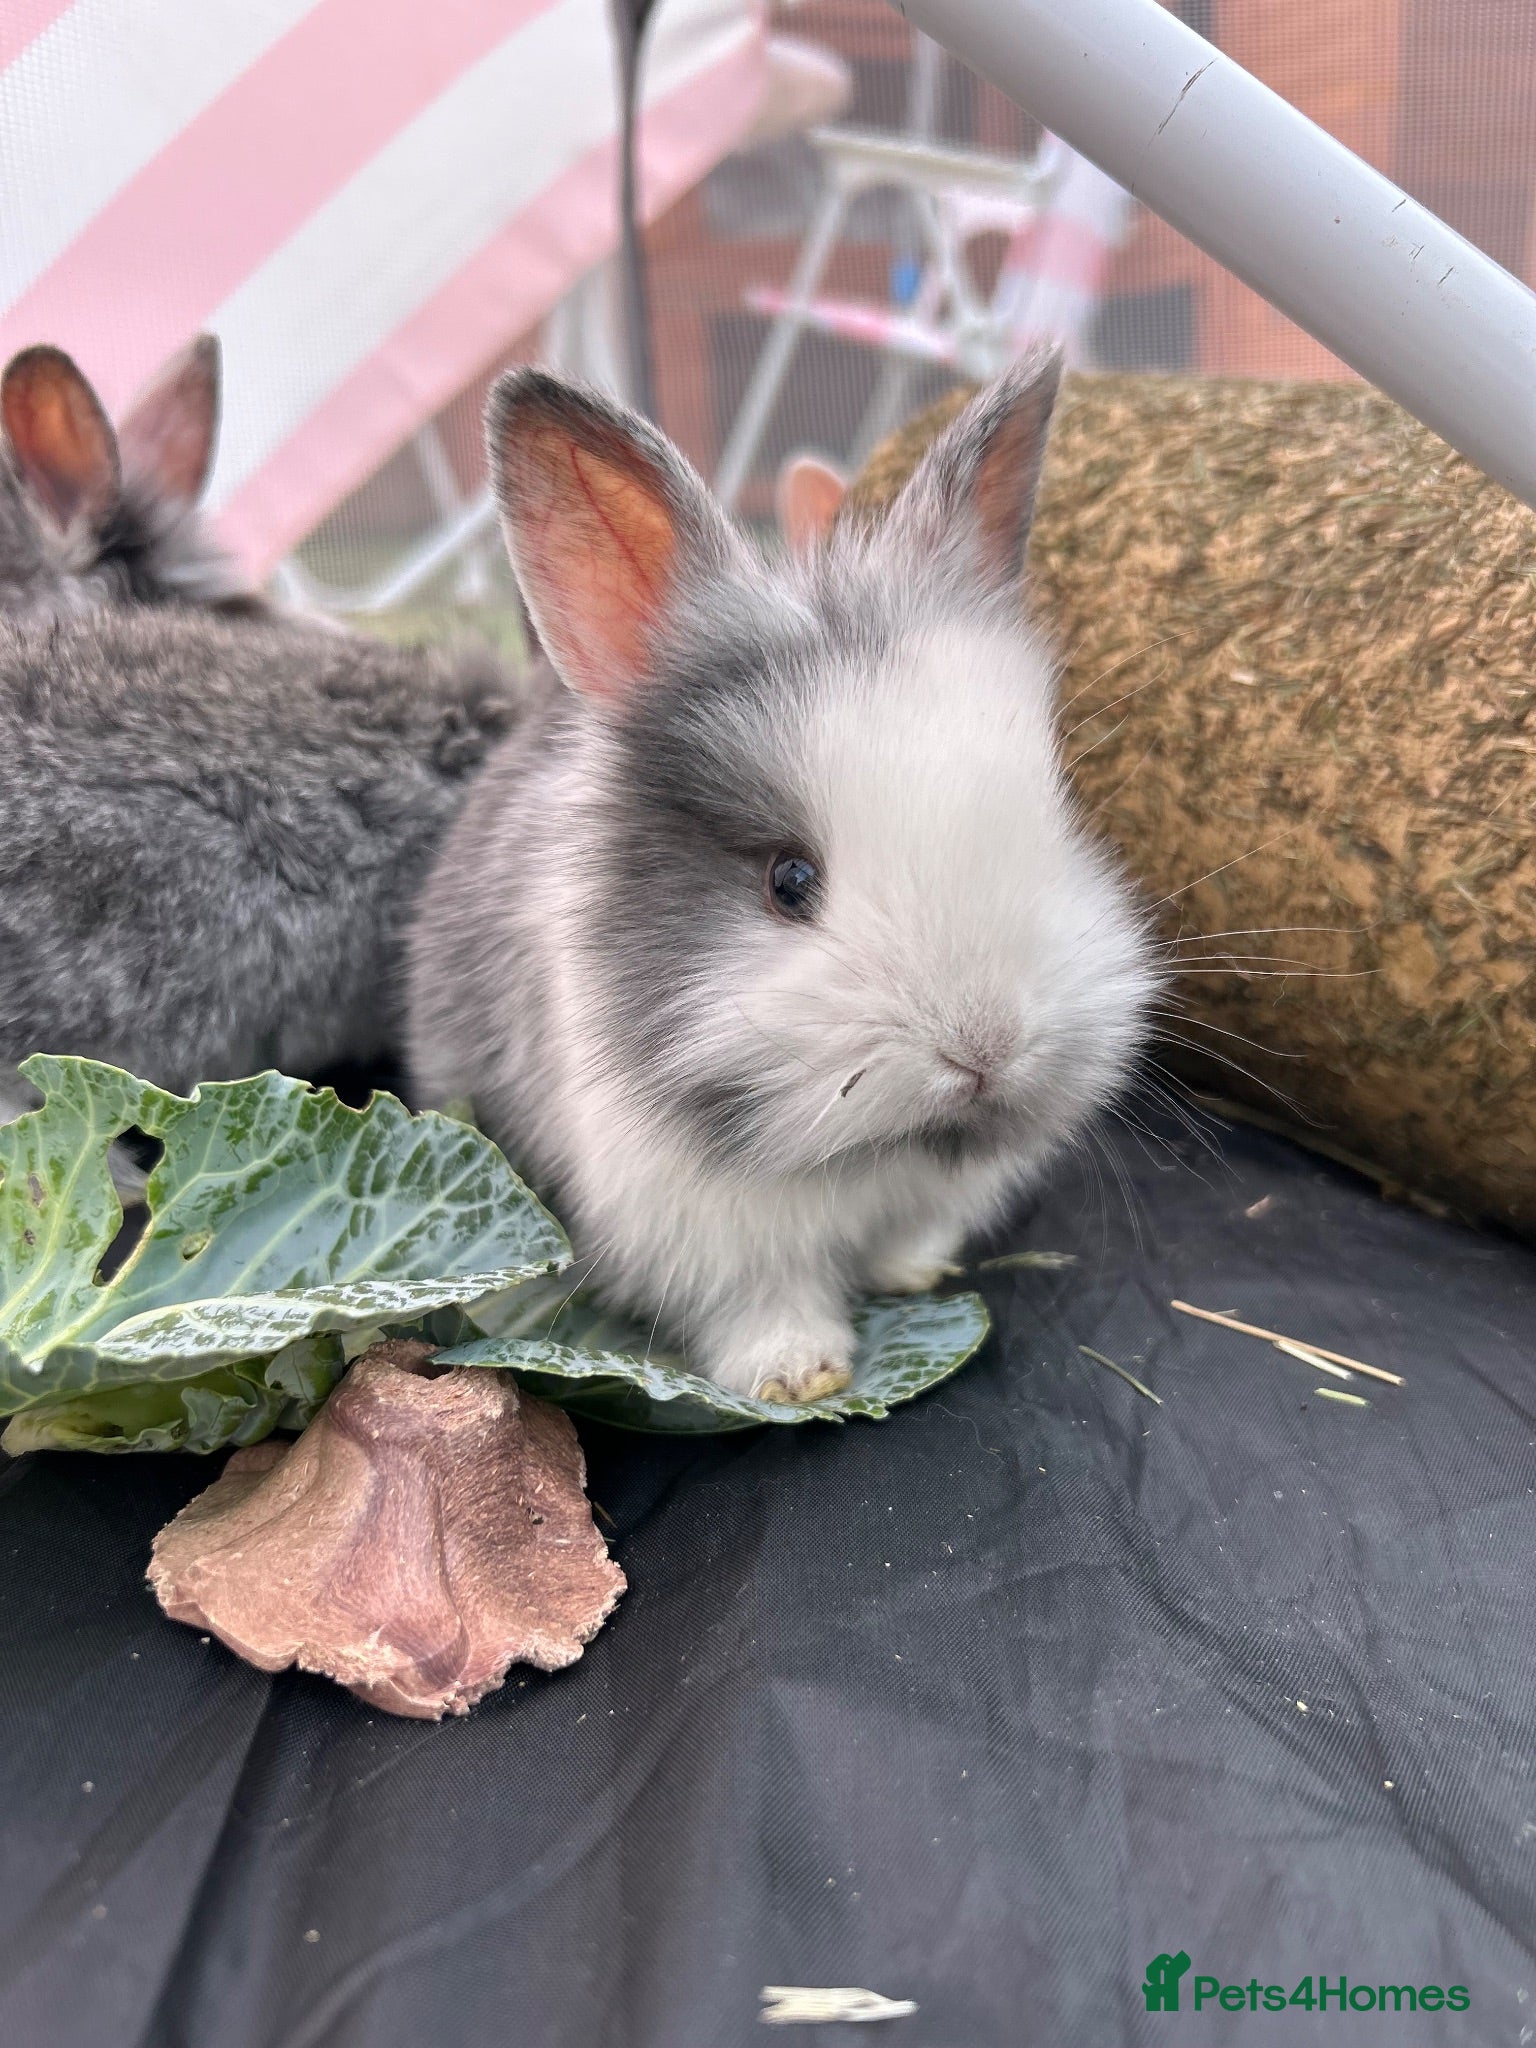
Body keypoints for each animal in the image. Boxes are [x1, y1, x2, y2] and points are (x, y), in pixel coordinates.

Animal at [406, 351, 1156, 1402]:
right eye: (789, 881)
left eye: (1056, 814)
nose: (987, 1049)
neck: (874, 1155)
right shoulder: (700, 1235)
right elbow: (762, 1305)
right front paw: (801, 1375)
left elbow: (913, 1235)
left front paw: (914, 1271)